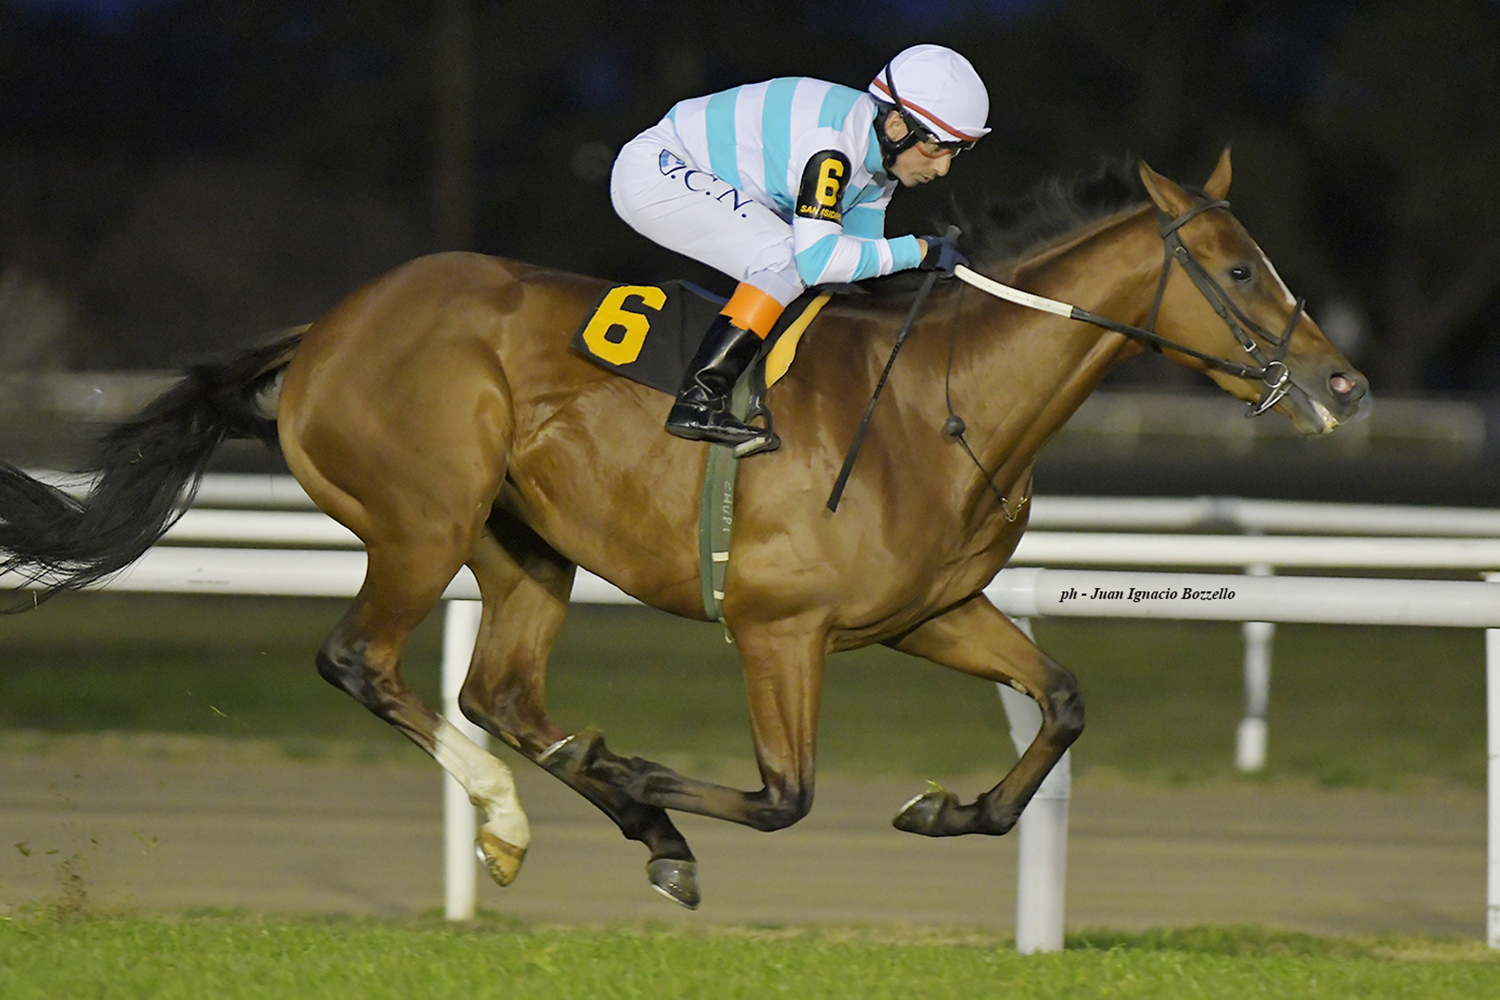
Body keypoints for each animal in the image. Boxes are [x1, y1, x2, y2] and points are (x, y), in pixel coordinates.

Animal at [0, 151, 1367, 909]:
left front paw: (943, 811)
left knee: (499, 692)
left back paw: (600, 816)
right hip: (423, 518)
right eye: (1238, 271)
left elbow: (1065, 699)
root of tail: (329, 325)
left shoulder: (929, 612)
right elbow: (784, 794)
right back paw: (524, 812)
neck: (947, 397)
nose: (1346, 383)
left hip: (525, 545)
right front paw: (648, 774)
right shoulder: (778, 626)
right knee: (366, 663)